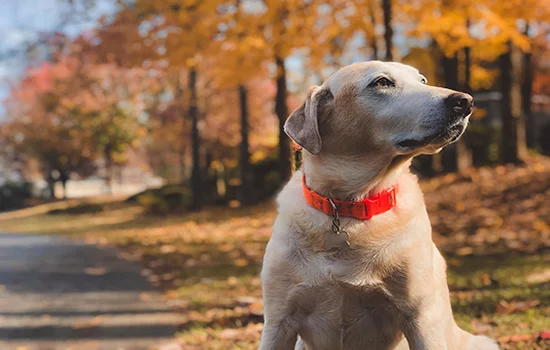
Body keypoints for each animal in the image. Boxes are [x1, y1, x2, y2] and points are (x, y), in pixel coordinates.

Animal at [258, 61, 500, 348]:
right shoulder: (278, 321)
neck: (350, 205)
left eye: (422, 80)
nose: (465, 101)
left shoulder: (420, 317)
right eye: (382, 82)